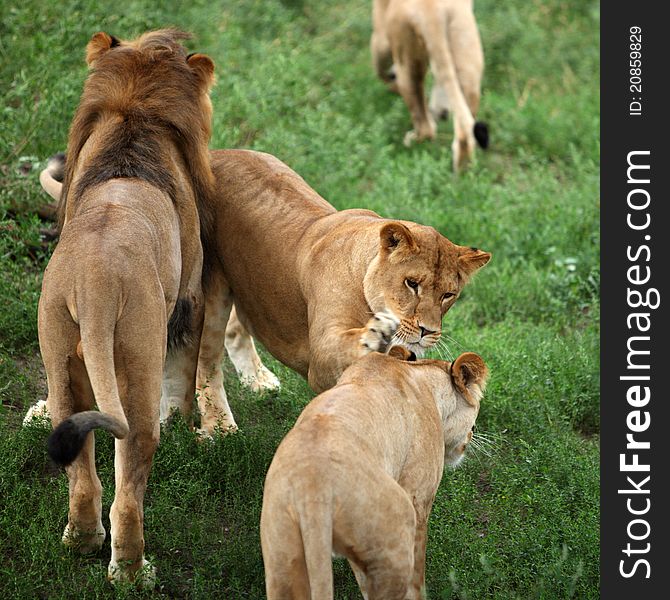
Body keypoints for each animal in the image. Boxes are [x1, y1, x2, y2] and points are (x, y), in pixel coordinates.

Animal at [39, 29, 217, 584]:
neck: (133, 121)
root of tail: (93, 285)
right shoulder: (191, 294)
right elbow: (184, 373)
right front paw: (185, 421)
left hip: (59, 349)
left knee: (81, 471)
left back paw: (81, 541)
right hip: (138, 353)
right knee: (129, 485)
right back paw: (133, 570)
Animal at [372, 0, 488, 170]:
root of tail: (433, 14)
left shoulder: (380, 36)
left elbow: (379, 69)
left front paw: (391, 82)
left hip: (407, 66)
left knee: (426, 128)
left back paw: (412, 140)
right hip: (468, 64)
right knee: (464, 133)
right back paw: (464, 171)